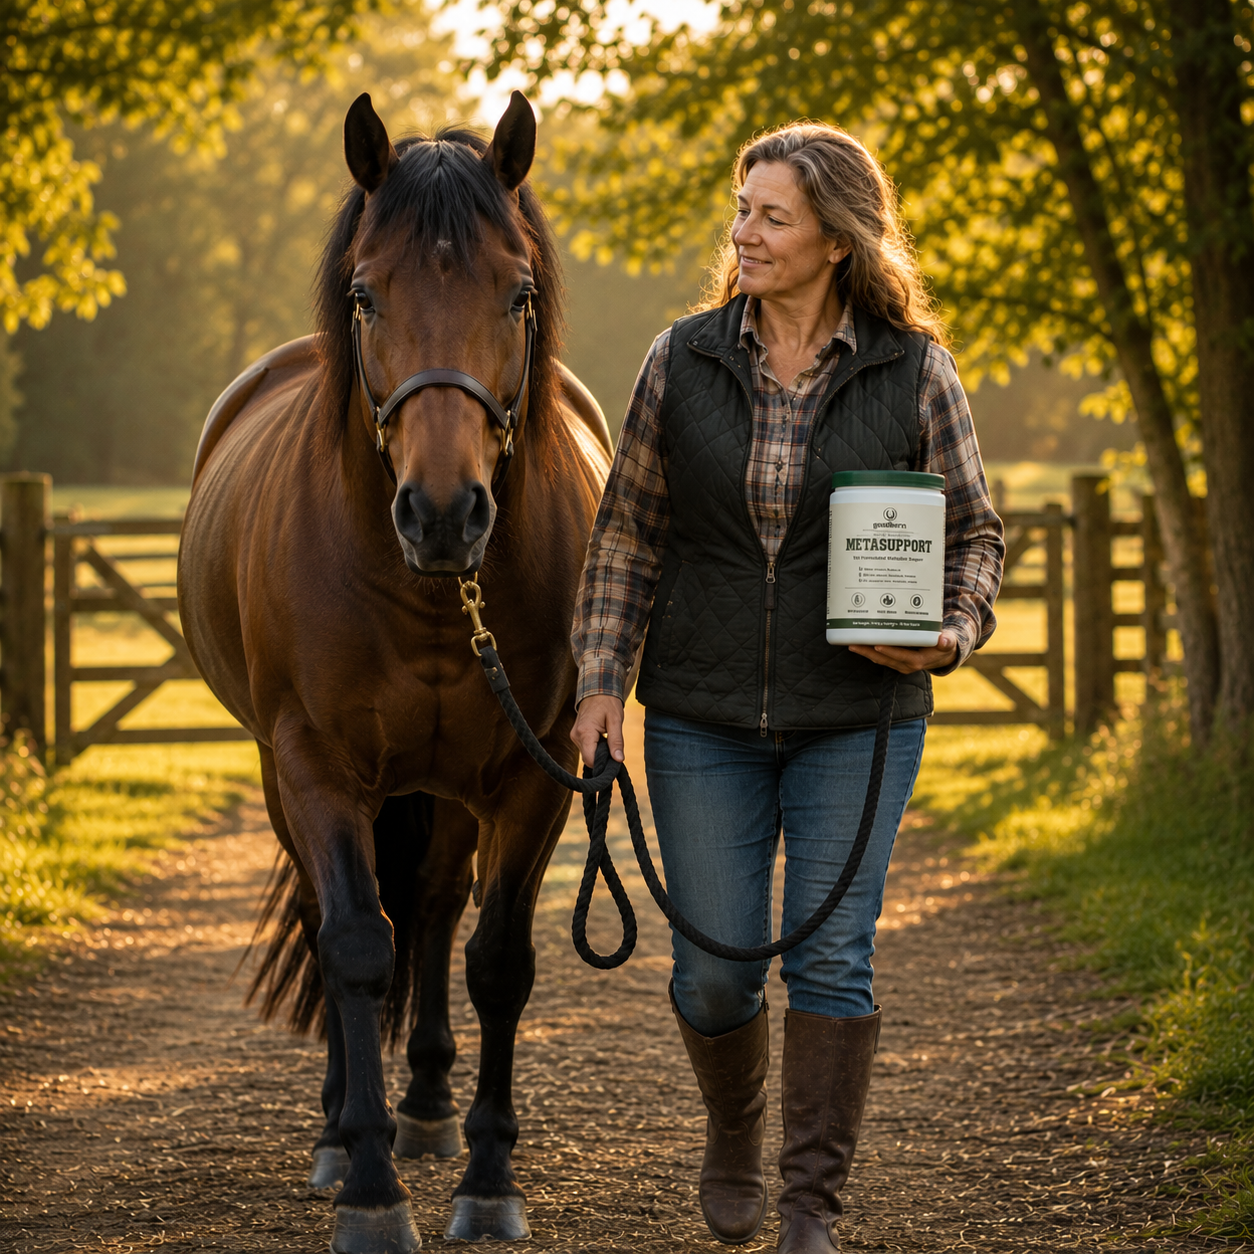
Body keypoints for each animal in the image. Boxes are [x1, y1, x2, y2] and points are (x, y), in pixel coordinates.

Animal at [177, 91, 612, 1252]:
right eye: (366, 296)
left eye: (518, 293)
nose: (445, 514)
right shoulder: (318, 769)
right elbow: (357, 948)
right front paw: (370, 1188)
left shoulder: (532, 776)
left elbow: (498, 960)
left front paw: (488, 1178)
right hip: (291, 780)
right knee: (344, 922)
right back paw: (345, 1128)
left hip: (450, 791)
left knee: (436, 904)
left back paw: (423, 1105)